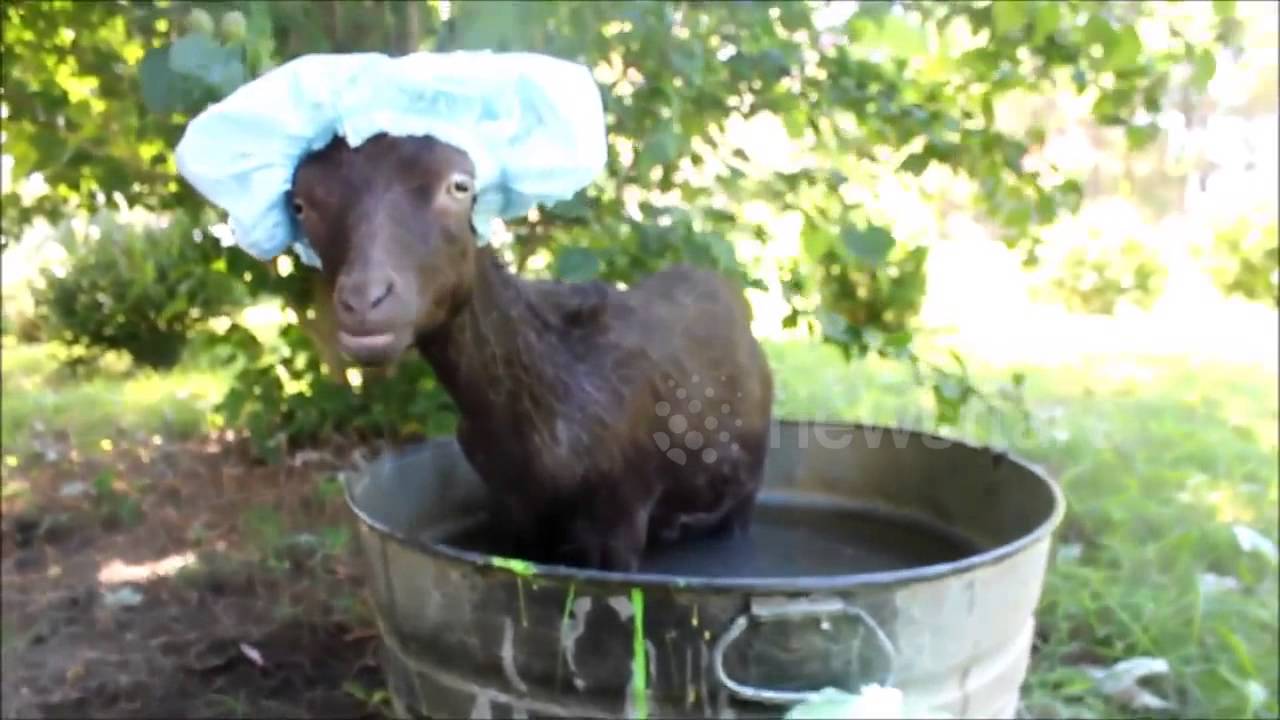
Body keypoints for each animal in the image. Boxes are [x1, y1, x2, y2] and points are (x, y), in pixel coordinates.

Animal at [289, 133, 774, 572]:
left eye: (459, 185)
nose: (364, 303)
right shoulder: (512, 512)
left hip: (746, 481)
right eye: (299, 204)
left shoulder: (623, 511)